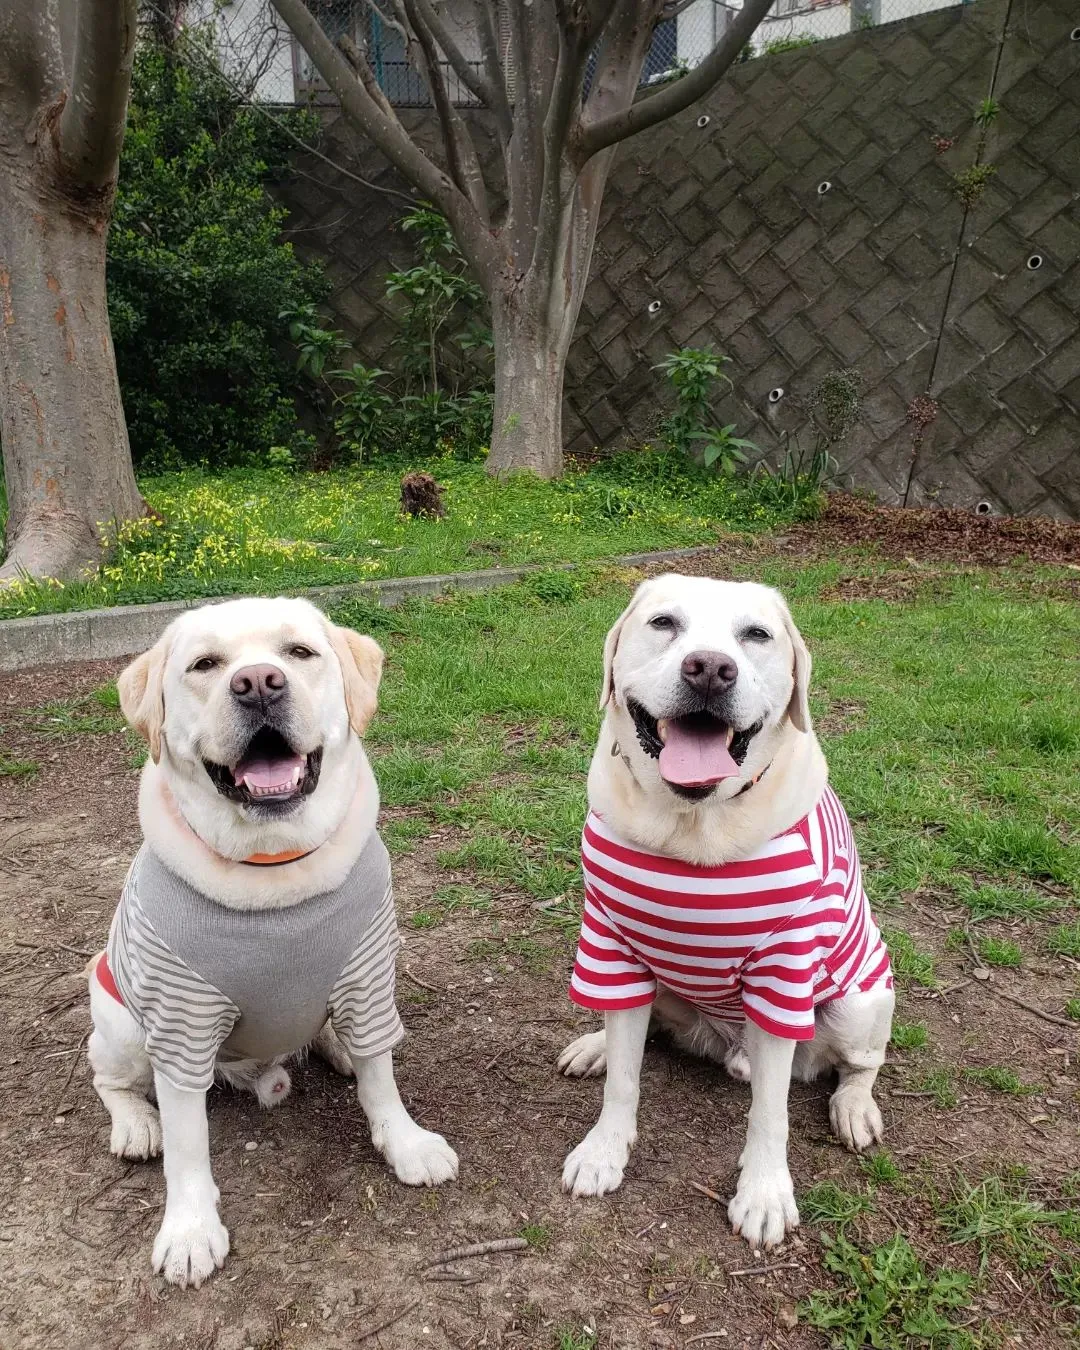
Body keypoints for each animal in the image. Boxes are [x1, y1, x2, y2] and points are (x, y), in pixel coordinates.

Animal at [85, 599, 456, 1285]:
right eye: (205, 664)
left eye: (299, 652)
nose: (258, 683)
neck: (274, 868)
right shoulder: (181, 1021)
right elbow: (188, 1146)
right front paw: (190, 1229)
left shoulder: (368, 976)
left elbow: (382, 1082)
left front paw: (406, 1142)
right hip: (120, 1019)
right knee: (110, 1080)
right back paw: (136, 1125)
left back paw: (339, 1048)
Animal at [556, 569, 896, 1242]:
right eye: (664, 623)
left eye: (757, 635)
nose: (711, 669)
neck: (694, 820)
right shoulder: (612, 947)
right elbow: (624, 1082)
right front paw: (605, 1150)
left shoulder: (782, 977)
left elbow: (770, 1114)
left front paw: (764, 1193)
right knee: (639, 1027)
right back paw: (598, 1045)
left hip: (859, 1001)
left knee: (858, 1065)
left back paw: (854, 1107)